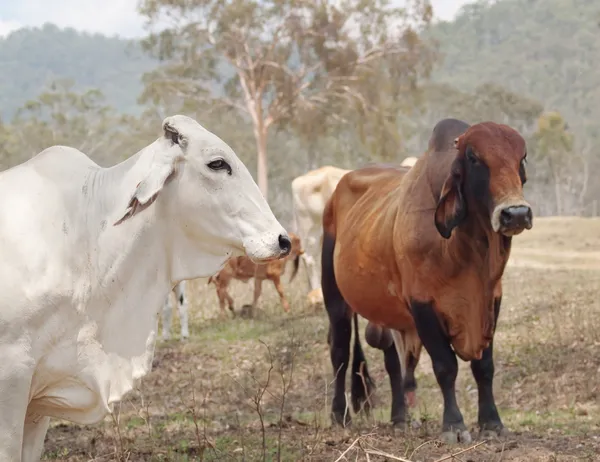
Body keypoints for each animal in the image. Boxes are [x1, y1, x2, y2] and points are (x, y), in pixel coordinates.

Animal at [322, 119, 532, 444]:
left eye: (522, 157)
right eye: (473, 157)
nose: (516, 213)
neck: (464, 248)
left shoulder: (492, 301)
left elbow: (484, 366)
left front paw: (492, 422)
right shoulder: (423, 305)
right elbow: (445, 366)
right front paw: (454, 425)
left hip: (388, 311)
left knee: (392, 361)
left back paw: (399, 418)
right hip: (335, 299)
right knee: (341, 353)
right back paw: (339, 415)